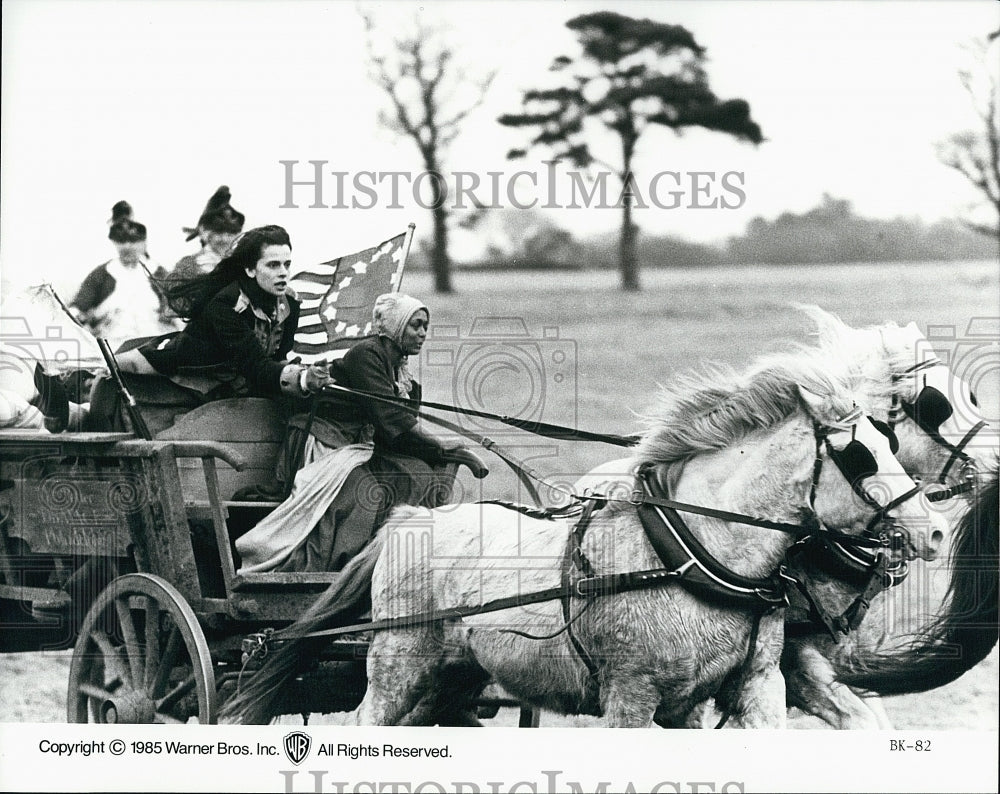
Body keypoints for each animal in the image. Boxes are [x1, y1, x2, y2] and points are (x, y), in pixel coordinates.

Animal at [223, 346, 948, 724]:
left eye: (892, 443)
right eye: (862, 457)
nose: (936, 531)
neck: (692, 555)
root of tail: (412, 519)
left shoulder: (738, 691)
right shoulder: (631, 695)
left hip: (455, 679)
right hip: (399, 668)